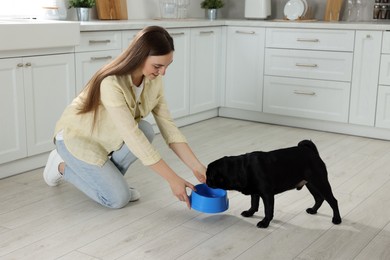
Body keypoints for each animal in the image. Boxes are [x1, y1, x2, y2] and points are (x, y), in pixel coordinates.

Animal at [207, 140, 342, 228]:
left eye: (209, 175)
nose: (206, 180)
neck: (241, 167)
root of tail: (311, 151)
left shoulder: (267, 194)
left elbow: (268, 210)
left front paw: (265, 222)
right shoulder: (255, 192)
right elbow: (254, 203)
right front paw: (250, 212)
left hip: (320, 182)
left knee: (333, 200)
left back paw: (337, 219)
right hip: (312, 184)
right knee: (319, 198)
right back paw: (313, 210)